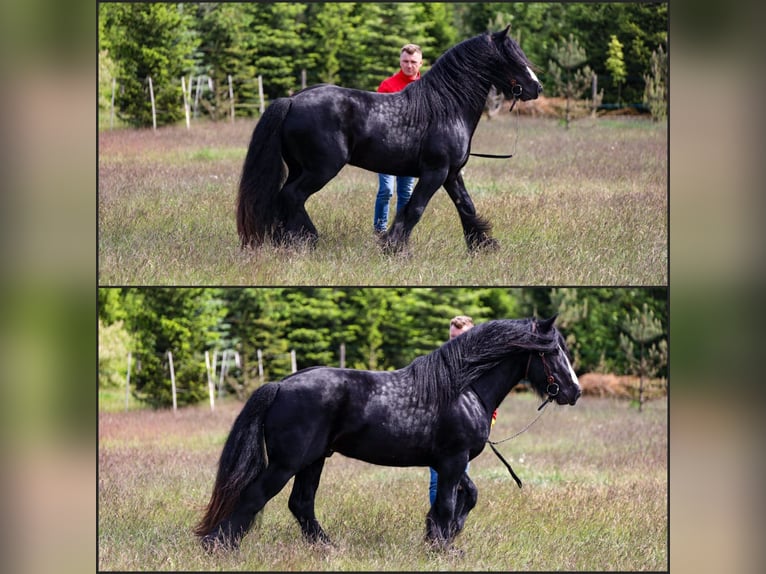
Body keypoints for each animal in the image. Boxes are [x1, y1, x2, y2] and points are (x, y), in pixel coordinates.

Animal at [195, 318, 580, 552]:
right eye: (551, 352)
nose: (574, 391)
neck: (463, 388)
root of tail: (281, 384)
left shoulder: (449, 463)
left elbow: (466, 497)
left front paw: (440, 538)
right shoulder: (453, 460)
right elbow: (447, 504)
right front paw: (443, 546)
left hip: (313, 461)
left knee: (301, 504)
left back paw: (327, 547)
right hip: (287, 463)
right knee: (254, 496)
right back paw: (219, 546)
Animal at [237, 27, 544, 252]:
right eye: (513, 59)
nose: (536, 88)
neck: (447, 107)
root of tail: (292, 101)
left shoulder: (451, 173)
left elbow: (466, 206)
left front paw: (482, 245)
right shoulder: (435, 172)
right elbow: (415, 208)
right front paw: (394, 247)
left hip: (300, 168)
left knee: (283, 197)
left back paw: (284, 241)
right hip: (321, 169)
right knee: (292, 196)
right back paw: (307, 239)